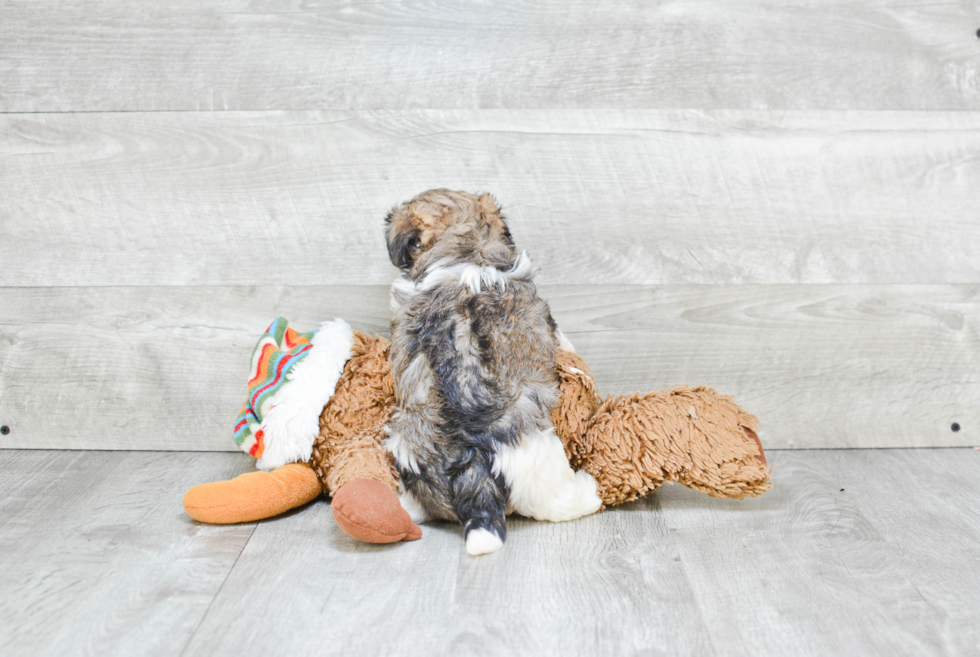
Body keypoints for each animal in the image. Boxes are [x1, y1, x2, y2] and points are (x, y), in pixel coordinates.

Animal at [384, 188, 600, 552]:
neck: (463, 249)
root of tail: (471, 464)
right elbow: (562, 339)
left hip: (405, 448)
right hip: (541, 459)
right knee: (555, 502)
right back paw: (589, 492)